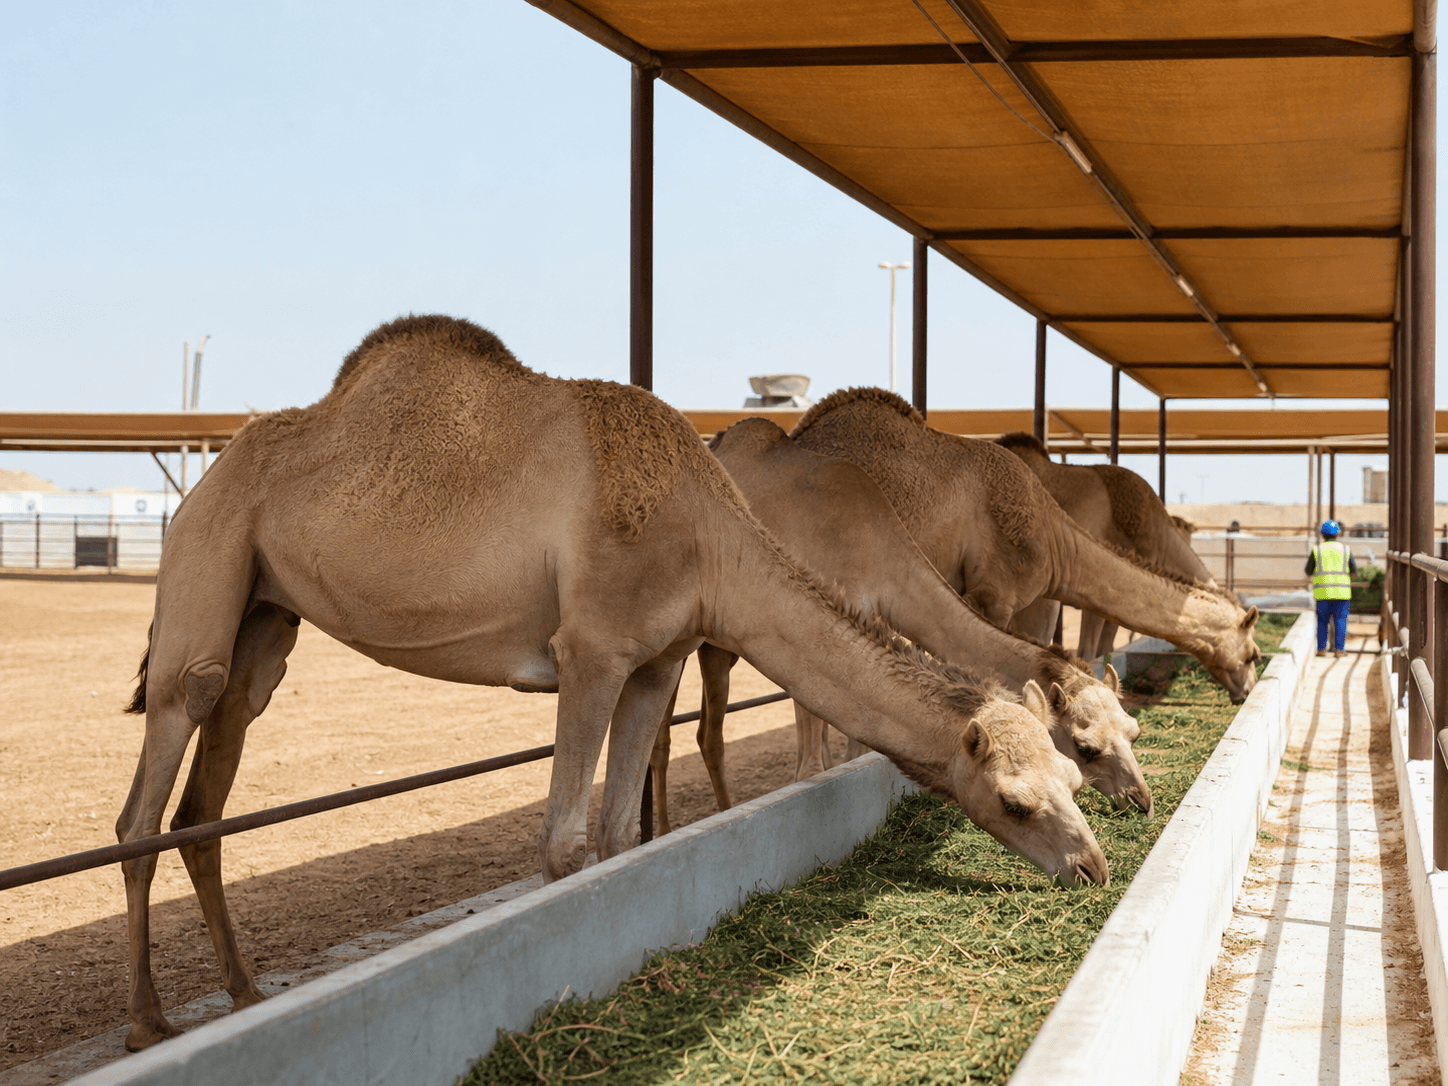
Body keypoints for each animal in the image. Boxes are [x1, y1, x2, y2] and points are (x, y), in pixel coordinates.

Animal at [649, 417, 1152, 835]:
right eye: (1085, 747)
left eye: (1132, 730)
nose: (1140, 799)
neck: (877, 546)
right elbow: (817, 749)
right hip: (688, 637)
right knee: (681, 736)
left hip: (714, 645)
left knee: (699, 733)